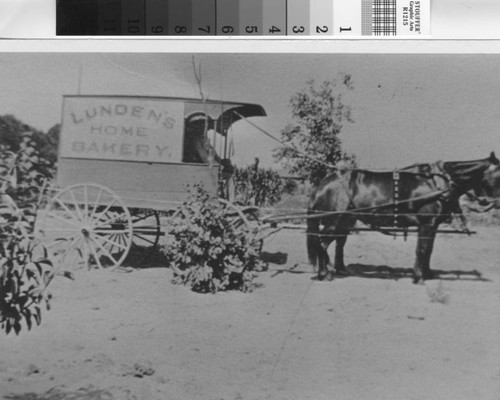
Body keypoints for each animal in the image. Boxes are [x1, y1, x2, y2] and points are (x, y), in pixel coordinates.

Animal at [304, 152, 500, 282]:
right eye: (498, 175)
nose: (495, 204)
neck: (437, 183)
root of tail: (323, 183)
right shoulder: (426, 223)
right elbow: (422, 249)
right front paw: (418, 277)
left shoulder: (433, 225)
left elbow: (429, 250)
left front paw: (427, 273)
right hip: (334, 221)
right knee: (322, 243)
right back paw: (324, 274)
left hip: (345, 221)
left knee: (337, 243)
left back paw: (337, 269)